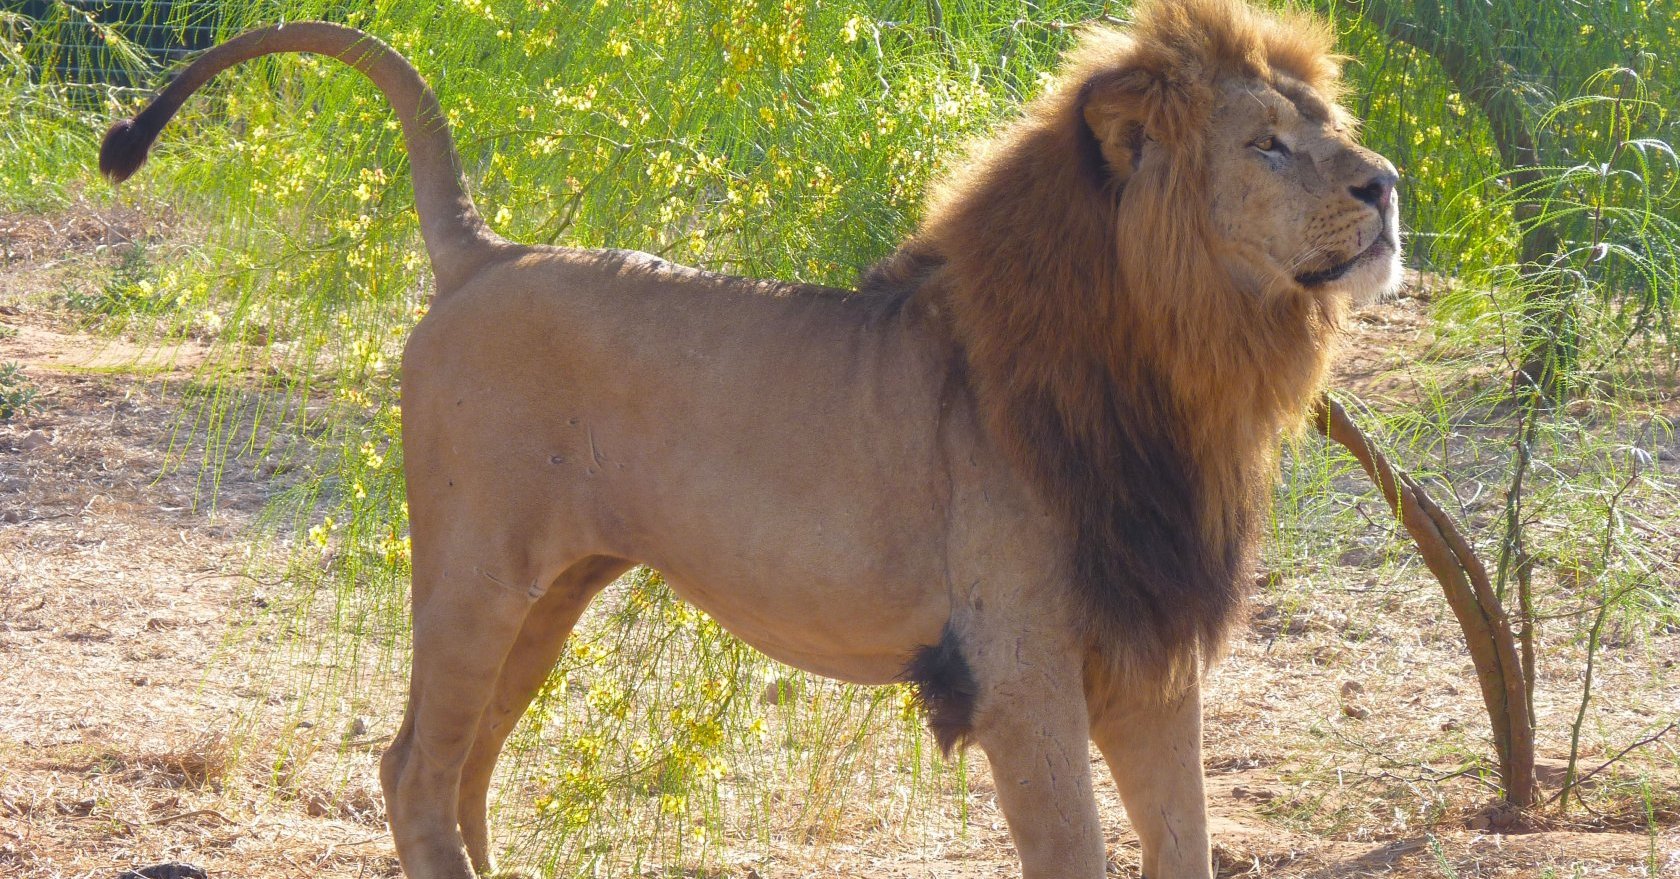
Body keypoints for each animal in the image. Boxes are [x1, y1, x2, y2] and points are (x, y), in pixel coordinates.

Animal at [100, 1, 1400, 876]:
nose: (1387, 184)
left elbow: (1185, 846)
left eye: (1333, 127)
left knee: (458, 765)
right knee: (415, 768)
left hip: (553, 592)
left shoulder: (1150, 664)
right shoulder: (1020, 672)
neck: (1181, 369)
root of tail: (487, 252)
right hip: (475, 574)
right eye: (1267, 144)